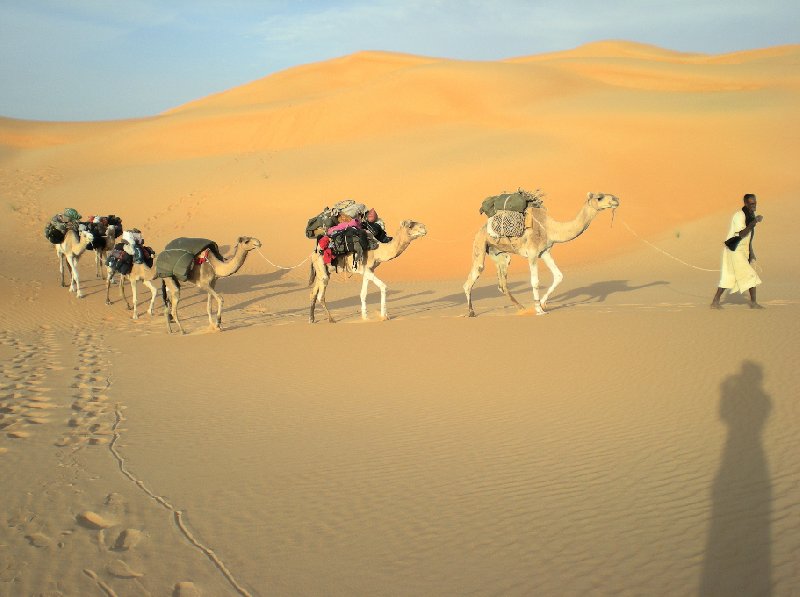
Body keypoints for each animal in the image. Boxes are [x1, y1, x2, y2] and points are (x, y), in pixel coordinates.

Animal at [462, 193, 620, 318]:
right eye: (599, 197)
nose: (616, 199)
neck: (550, 228)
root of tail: (480, 230)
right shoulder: (532, 253)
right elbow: (535, 282)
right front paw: (539, 310)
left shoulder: (545, 252)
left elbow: (559, 275)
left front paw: (543, 303)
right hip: (479, 245)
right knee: (471, 278)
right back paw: (471, 312)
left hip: (500, 254)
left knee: (502, 284)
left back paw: (521, 308)